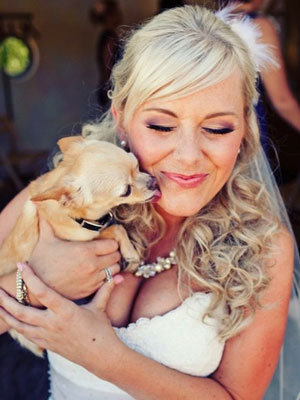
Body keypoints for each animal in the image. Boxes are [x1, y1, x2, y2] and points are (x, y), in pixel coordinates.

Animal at [0, 136, 159, 354]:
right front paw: (131, 254)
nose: (153, 181)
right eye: (126, 191)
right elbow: (116, 229)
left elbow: (115, 227)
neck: (75, 216)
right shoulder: (83, 240)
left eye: (137, 165)